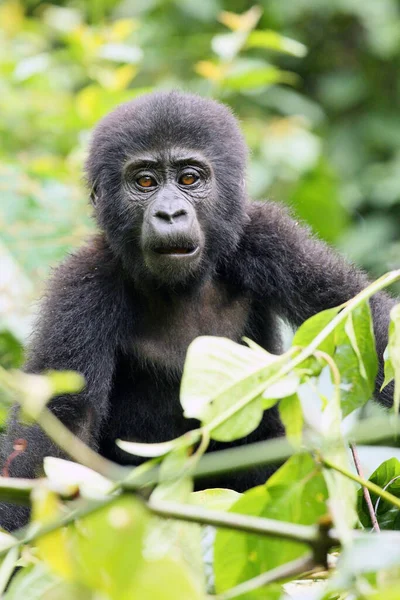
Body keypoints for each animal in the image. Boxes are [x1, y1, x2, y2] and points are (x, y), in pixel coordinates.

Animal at [0, 89, 394, 528]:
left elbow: (364, 323)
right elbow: (59, 426)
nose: (170, 213)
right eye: (145, 181)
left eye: (189, 178)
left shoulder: (270, 238)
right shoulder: (82, 285)